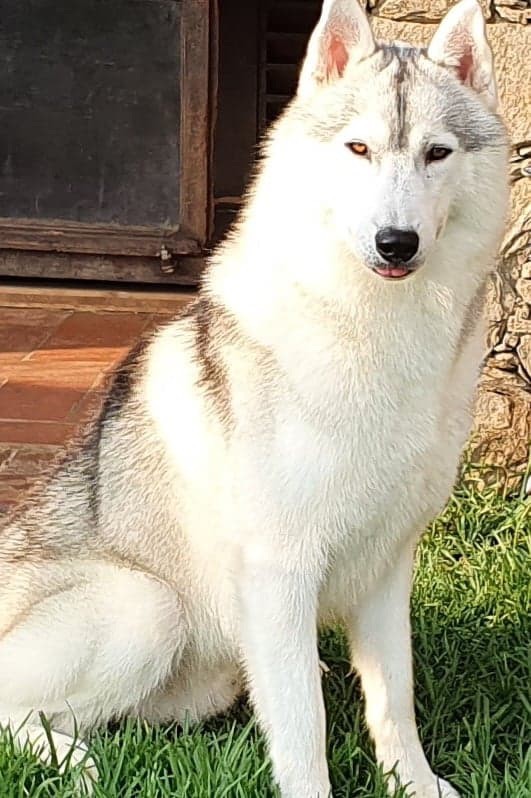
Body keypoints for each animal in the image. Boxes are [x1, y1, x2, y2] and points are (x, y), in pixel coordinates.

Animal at [0, 1, 510, 798]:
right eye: (358, 148)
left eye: (437, 153)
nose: (395, 242)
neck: (373, 331)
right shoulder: (279, 573)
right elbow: (303, 726)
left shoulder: (387, 566)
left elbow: (394, 697)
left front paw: (415, 784)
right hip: (149, 608)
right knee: (17, 715)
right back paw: (77, 766)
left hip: (205, 675)